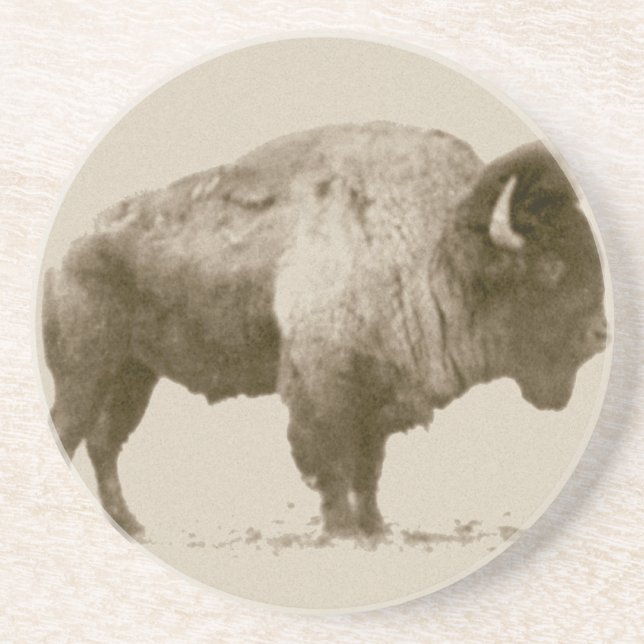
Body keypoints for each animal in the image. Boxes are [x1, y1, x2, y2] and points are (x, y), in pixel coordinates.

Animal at [42, 122, 607, 540]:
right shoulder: (324, 388)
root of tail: (69, 252)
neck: (434, 250)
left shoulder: (378, 398)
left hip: (134, 376)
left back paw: (132, 525)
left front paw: (376, 529)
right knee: (73, 429)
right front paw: (343, 532)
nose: (601, 334)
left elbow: (368, 468)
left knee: (105, 442)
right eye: (550, 268)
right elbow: (331, 462)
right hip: (87, 372)